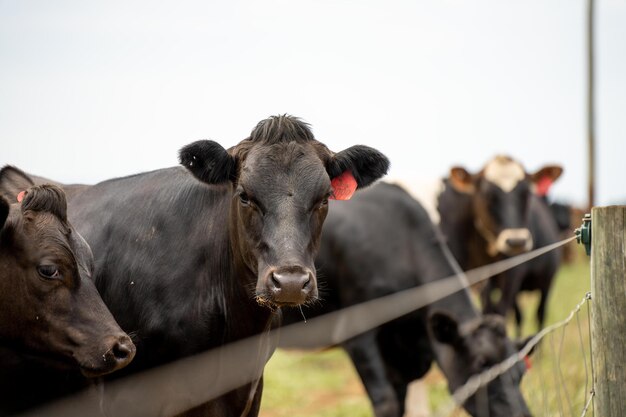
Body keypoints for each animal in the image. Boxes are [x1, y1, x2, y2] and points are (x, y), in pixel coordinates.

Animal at [434, 154, 560, 334]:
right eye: (488, 195)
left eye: (526, 194)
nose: (516, 241)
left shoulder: (510, 277)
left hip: (545, 282)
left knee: (539, 315)